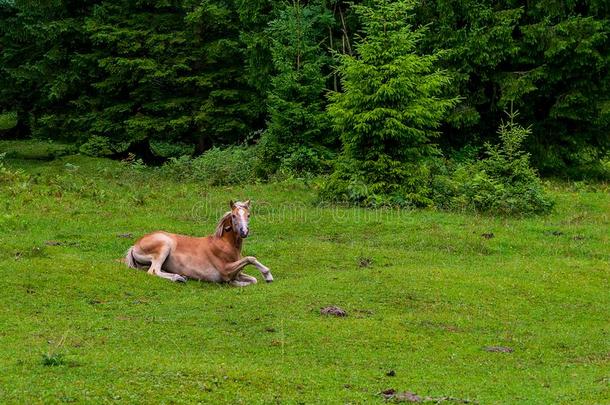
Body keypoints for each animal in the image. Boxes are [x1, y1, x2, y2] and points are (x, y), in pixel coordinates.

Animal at [124, 200, 272, 286]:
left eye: (248, 215)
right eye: (234, 215)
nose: (244, 232)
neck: (224, 244)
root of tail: (134, 246)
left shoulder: (237, 272)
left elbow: (253, 279)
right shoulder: (226, 269)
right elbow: (250, 259)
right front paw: (268, 275)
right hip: (164, 245)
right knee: (153, 271)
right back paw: (178, 278)